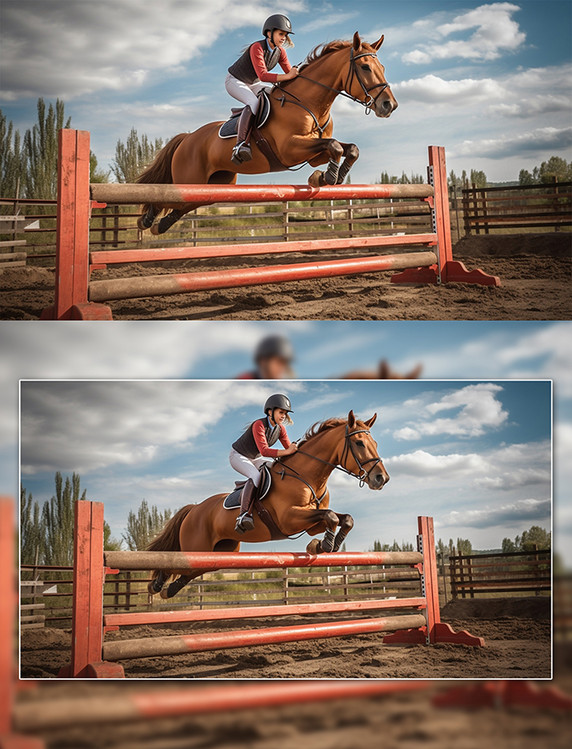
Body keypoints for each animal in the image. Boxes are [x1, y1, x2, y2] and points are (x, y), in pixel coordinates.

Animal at [136, 32, 396, 234]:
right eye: (365, 67)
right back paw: (147, 220)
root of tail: (187, 137)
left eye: (383, 68)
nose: (389, 105)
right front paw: (329, 177)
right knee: (165, 194)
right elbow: (335, 146)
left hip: (215, 185)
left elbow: (348, 148)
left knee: (185, 205)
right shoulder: (290, 149)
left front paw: (325, 177)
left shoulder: (313, 153)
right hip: (189, 178)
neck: (309, 103)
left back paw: (158, 225)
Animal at [145, 412, 392, 600]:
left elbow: (344, 518)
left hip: (219, 553)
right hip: (196, 548)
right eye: (359, 443)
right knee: (174, 563)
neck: (307, 477)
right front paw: (324, 545)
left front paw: (322, 545)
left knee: (193, 570)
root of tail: (194, 509)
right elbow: (331, 516)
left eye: (376, 443)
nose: (382, 479)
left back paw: (167, 590)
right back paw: (156, 585)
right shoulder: (290, 519)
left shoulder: (312, 523)